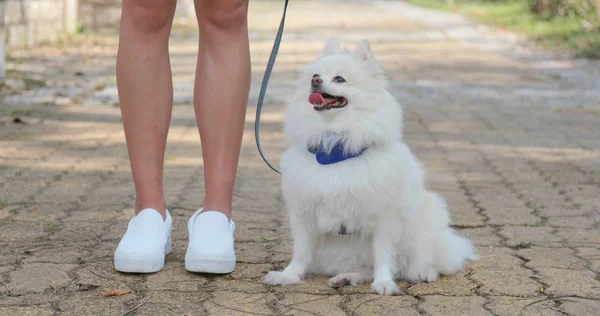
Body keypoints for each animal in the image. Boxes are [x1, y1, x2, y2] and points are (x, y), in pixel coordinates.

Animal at [262, 38, 478, 296]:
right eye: (315, 75)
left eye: (339, 79)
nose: (315, 82)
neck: (336, 146)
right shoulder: (305, 213)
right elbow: (301, 251)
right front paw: (289, 276)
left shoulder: (384, 216)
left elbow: (383, 255)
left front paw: (384, 283)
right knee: (365, 268)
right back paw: (345, 277)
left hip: (424, 225)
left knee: (421, 261)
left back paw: (425, 272)